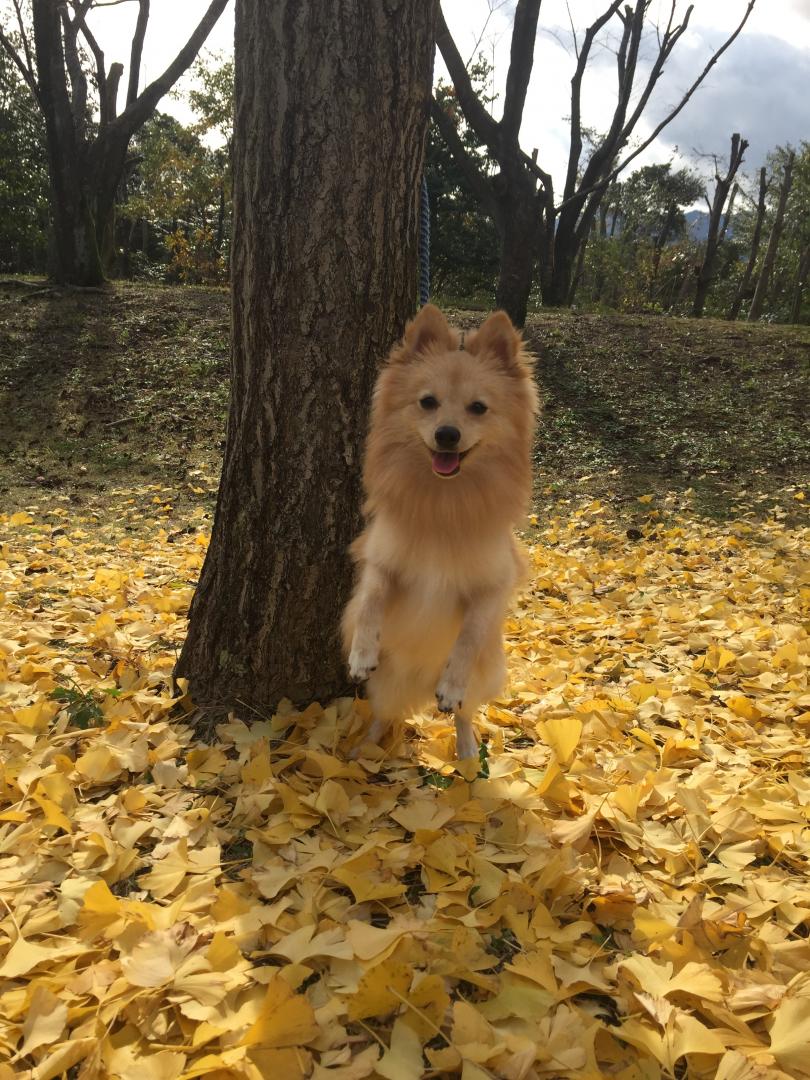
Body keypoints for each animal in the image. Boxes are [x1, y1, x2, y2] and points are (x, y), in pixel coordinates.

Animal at [343, 304, 540, 760]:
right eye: (427, 403)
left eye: (478, 408)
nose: (447, 434)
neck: (443, 503)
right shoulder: (381, 559)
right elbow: (371, 601)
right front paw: (362, 651)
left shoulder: (492, 586)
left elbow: (468, 636)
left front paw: (450, 684)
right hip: (385, 687)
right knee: (382, 715)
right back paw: (364, 750)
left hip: (482, 679)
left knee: (464, 715)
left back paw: (466, 750)